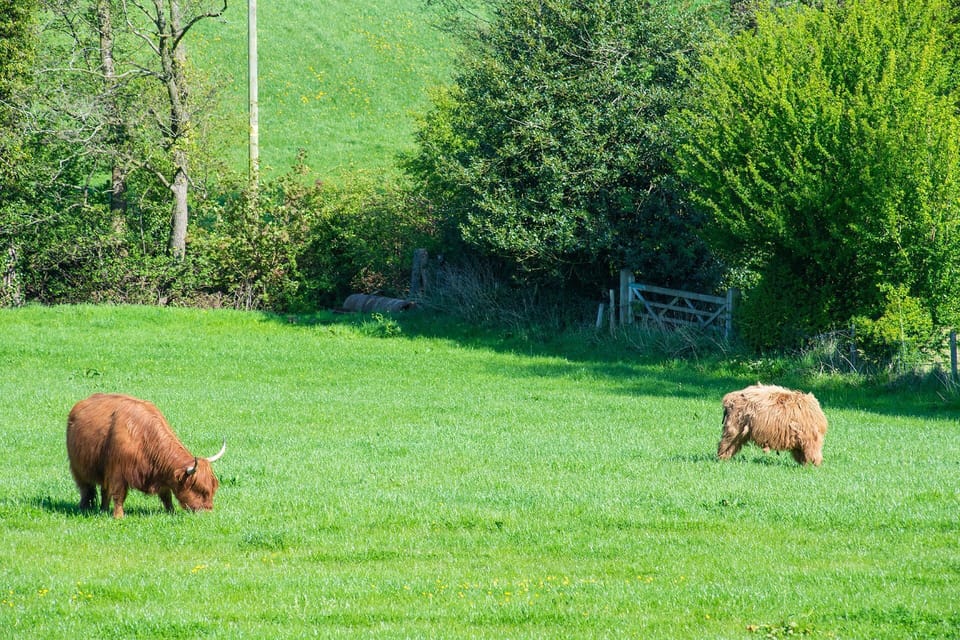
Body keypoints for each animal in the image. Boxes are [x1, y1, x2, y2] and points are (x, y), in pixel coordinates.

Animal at [66, 393, 226, 518]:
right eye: (199, 489)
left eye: (212, 489)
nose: (207, 513)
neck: (143, 436)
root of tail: (80, 405)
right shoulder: (118, 472)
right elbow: (119, 495)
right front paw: (118, 516)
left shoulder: (161, 475)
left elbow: (166, 496)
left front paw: (171, 512)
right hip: (78, 469)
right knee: (86, 489)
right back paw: (84, 508)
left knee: (104, 491)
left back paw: (103, 510)